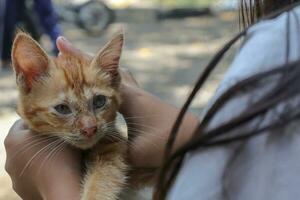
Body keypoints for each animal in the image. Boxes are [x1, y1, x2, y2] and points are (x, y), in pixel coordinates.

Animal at [11, 32, 128, 199]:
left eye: (99, 101)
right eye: (62, 108)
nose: (89, 129)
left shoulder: (113, 143)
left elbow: (106, 176)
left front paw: (93, 194)